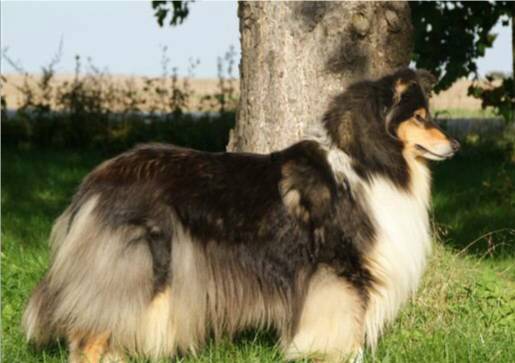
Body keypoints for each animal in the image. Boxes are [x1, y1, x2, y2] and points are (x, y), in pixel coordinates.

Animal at [23, 69, 460, 363]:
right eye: (419, 117)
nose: (455, 145)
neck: (366, 163)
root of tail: (94, 180)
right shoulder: (339, 269)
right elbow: (348, 331)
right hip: (139, 267)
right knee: (88, 335)